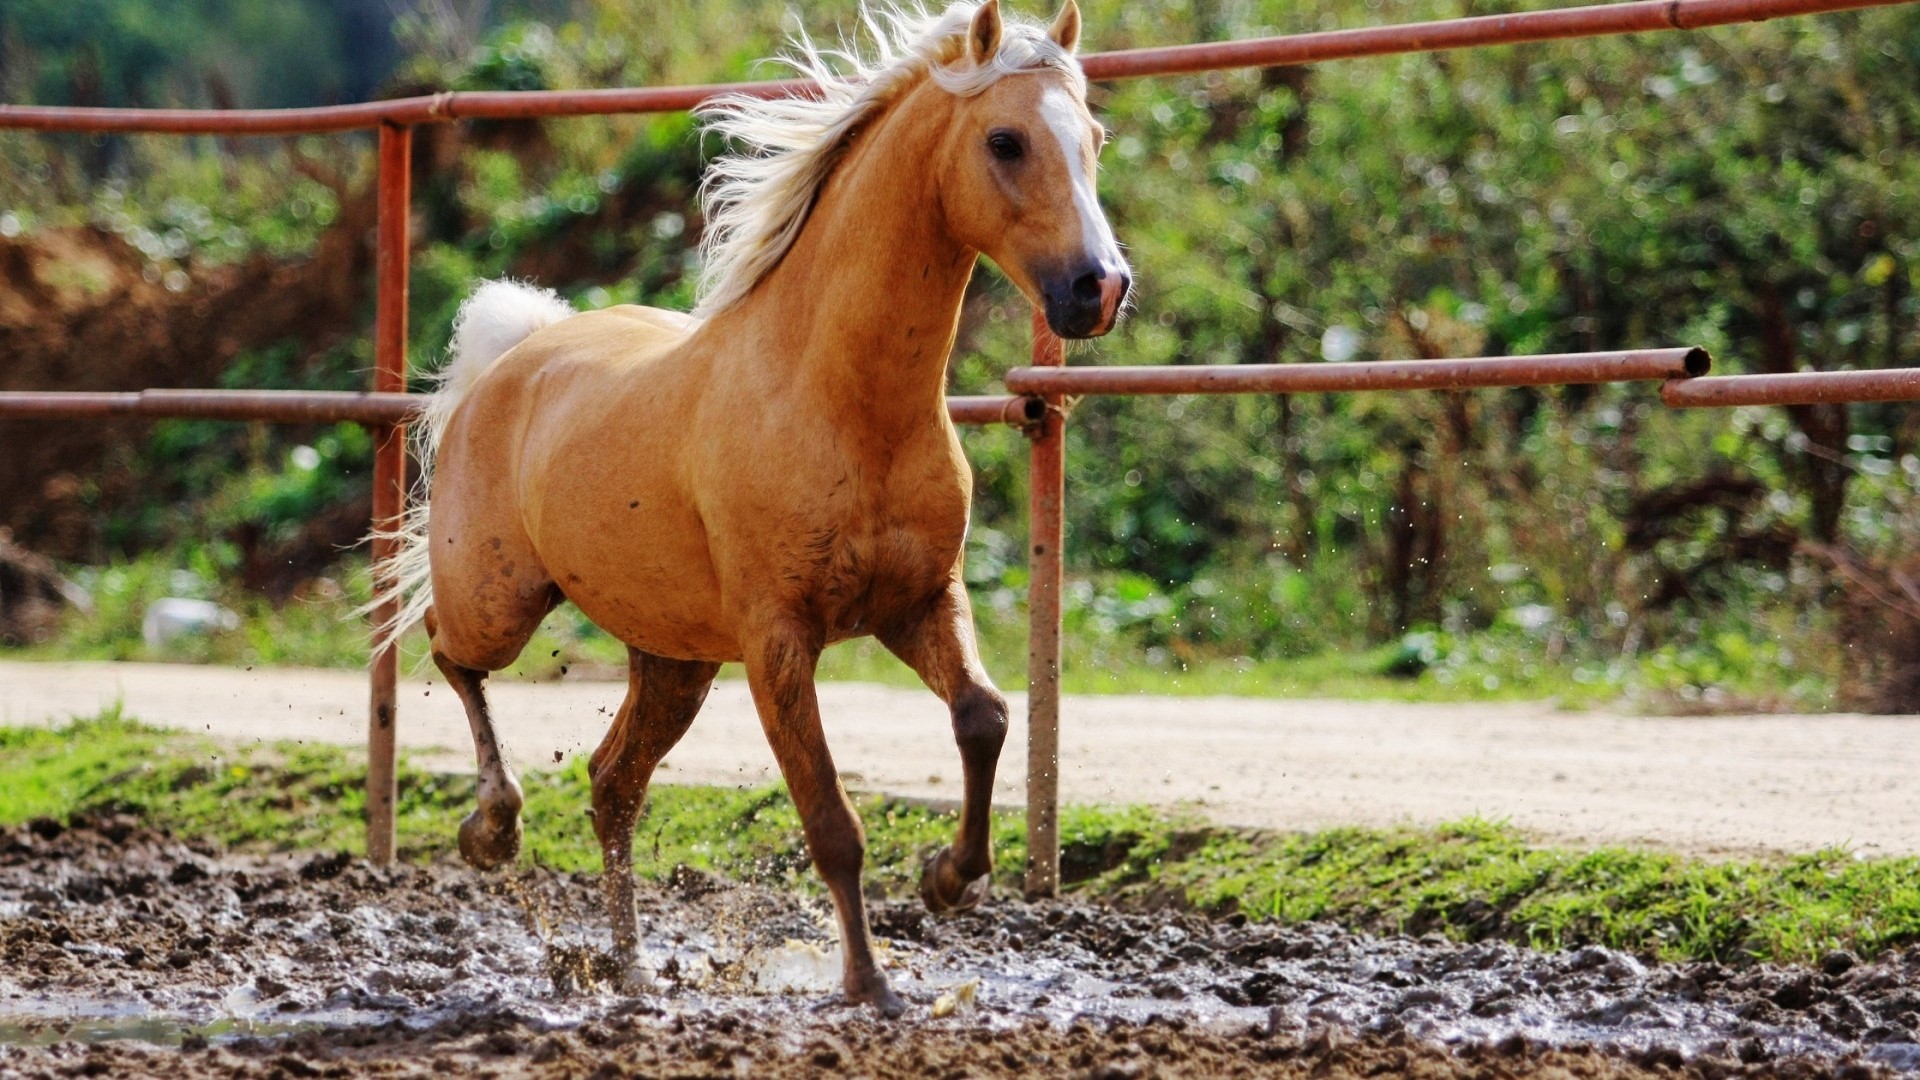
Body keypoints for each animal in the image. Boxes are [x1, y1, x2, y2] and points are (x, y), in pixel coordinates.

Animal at [371, 0, 1129, 1017]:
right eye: (1005, 140)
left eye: (1092, 139)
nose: (1100, 287)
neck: (842, 402)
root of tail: (515, 353)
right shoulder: (778, 641)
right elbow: (832, 820)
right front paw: (869, 985)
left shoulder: (921, 602)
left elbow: (986, 716)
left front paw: (948, 879)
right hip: (501, 601)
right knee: (452, 654)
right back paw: (494, 828)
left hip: (675, 659)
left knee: (613, 784)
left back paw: (631, 969)